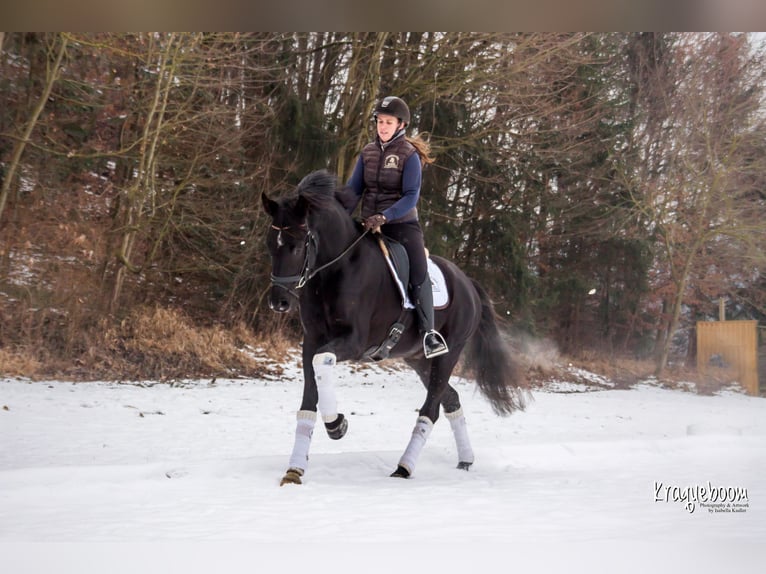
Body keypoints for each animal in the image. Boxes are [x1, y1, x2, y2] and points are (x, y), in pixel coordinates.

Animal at [262, 171, 528, 486]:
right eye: (270, 245)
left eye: (299, 244)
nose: (278, 302)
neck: (337, 267)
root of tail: (467, 283)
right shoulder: (311, 341)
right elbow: (308, 400)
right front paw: (294, 470)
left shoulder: (354, 342)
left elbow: (322, 362)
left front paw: (337, 425)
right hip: (419, 360)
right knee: (450, 399)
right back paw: (465, 459)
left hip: (448, 353)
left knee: (431, 409)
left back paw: (405, 467)